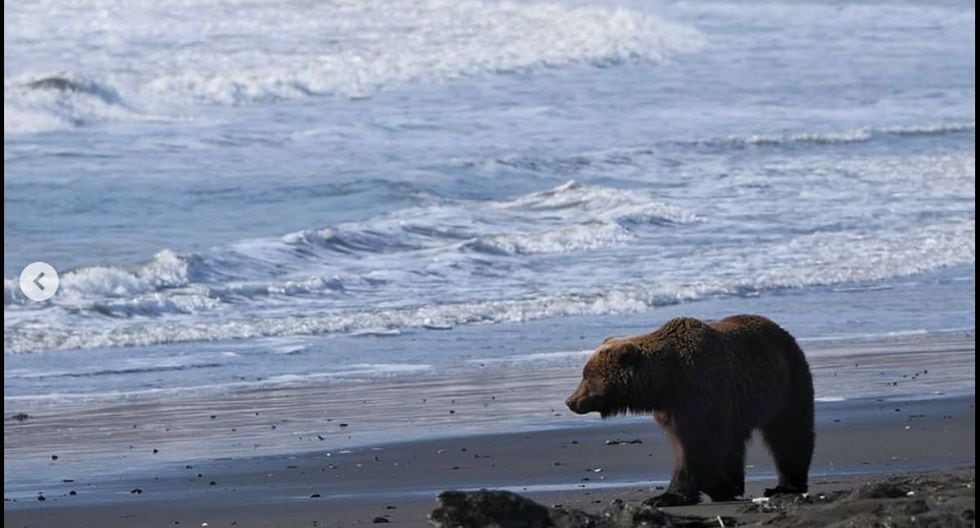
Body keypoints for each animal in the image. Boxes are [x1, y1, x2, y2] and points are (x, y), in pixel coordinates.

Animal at [564, 316, 816, 506]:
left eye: (587, 376)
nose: (570, 401)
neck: (666, 382)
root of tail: (780, 330)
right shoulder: (671, 410)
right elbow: (689, 445)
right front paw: (721, 487)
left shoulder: (699, 393)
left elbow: (699, 446)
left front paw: (666, 496)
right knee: (738, 443)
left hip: (787, 382)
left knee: (790, 432)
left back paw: (785, 486)